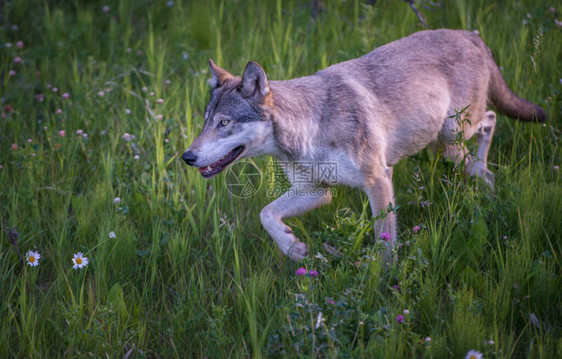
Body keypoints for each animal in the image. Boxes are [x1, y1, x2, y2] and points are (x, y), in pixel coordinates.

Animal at [182, 29, 544, 262]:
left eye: (224, 124)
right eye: (206, 122)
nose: (187, 157)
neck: (311, 127)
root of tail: (470, 34)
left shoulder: (378, 181)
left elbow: (385, 246)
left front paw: (383, 285)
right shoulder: (317, 192)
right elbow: (266, 214)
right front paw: (293, 248)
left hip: (453, 137)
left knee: (491, 124)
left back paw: (486, 186)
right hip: (447, 143)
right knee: (488, 133)